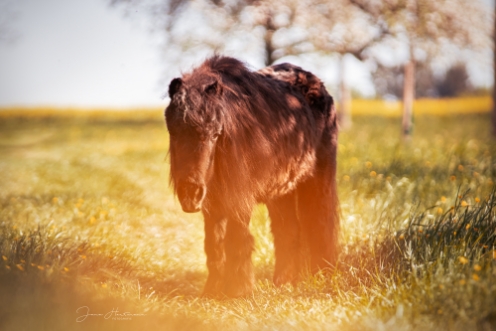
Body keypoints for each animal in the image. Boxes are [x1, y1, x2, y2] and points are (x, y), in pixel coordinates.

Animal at [165, 56, 340, 298]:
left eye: (215, 133)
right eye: (174, 131)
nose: (190, 193)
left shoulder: (239, 200)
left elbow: (237, 240)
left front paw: (238, 292)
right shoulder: (213, 204)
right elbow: (214, 244)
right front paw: (212, 292)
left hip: (317, 181)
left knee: (320, 224)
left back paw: (321, 275)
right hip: (282, 192)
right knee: (288, 232)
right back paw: (283, 283)